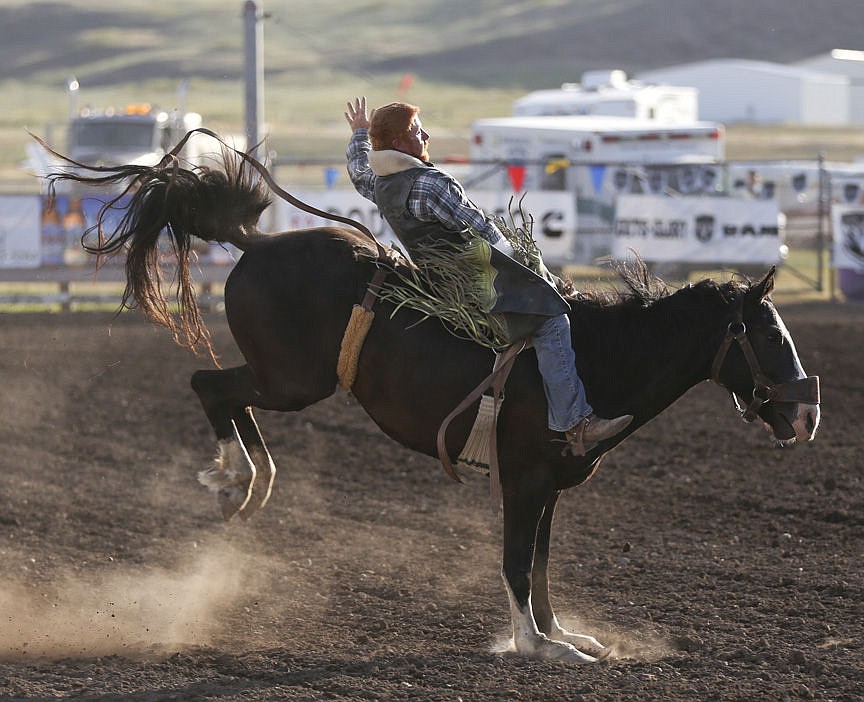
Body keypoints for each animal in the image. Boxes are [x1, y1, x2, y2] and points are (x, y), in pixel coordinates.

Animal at [42, 132, 824, 664]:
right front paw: (537, 648)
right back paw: (237, 478)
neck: (596, 358)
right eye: (768, 336)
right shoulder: (525, 479)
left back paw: (249, 483)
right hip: (294, 382)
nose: (807, 412)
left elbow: (542, 565)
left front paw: (564, 636)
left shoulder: (551, 486)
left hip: (285, 381)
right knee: (211, 386)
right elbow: (515, 562)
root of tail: (253, 244)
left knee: (226, 396)